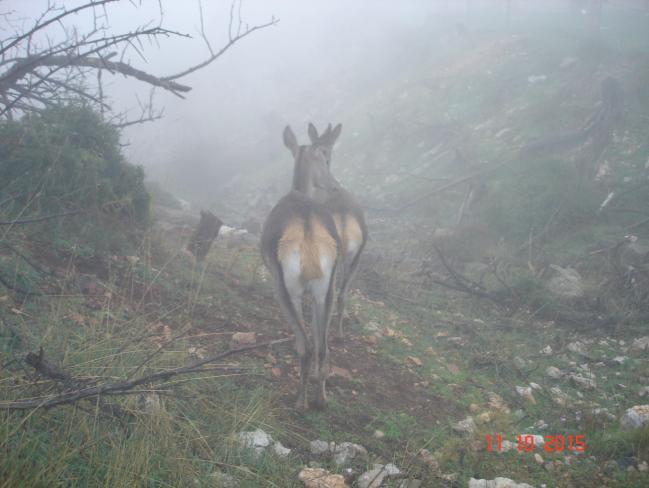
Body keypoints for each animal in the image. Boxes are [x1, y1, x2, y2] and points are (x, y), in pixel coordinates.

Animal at [258, 126, 342, 412]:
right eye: (324, 159)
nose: (336, 185)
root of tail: (308, 230)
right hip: (327, 289)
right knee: (323, 346)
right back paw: (321, 399)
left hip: (287, 289)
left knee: (305, 345)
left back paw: (300, 402)